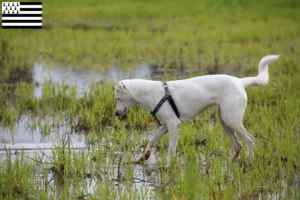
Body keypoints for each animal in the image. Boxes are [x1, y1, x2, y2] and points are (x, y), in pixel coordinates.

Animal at [114, 55, 278, 164]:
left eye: (118, 98)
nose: (116, 113)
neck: (150, 92)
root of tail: (240, 81)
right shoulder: (166, 126)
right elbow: (151, 140)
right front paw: (141, 157)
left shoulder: (174, 125)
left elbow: (171, 150)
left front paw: (168, 166)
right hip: (224, 120)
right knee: (238, 145)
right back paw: (229, 164)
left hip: (231, 119)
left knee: (250, 139)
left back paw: (250, 161)